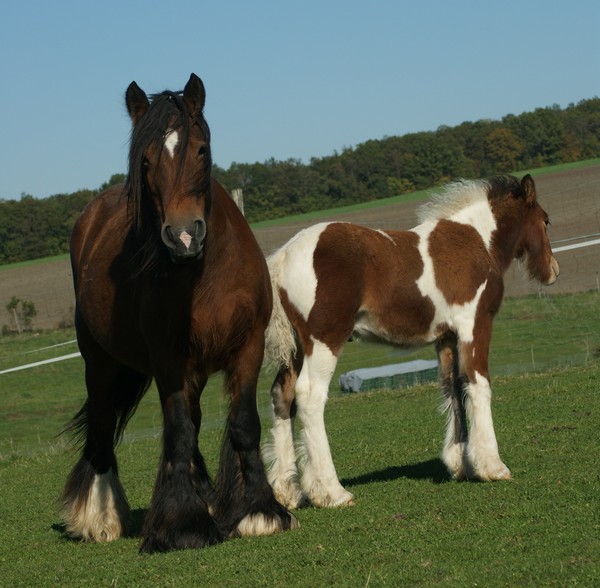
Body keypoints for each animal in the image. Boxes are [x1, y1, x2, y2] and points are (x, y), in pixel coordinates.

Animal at [60, 72, 296, 552]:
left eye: (201, 150)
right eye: (147, 160)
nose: (184, 236)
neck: (204, 275)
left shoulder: (247, 348)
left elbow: (243, 424)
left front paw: (258, 511)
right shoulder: (168, 361)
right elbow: (180, 431)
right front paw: (184, 524)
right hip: (100, 363)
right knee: (102, 421)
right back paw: (100, 517)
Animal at [264, 175, 560, 510]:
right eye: (545, 220)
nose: (553, 271)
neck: (477, 240)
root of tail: (284, 257)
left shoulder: (446, 337)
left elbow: (453, 386)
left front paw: (461, 464)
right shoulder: (475, 324)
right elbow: (478, 383)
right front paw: (492, 466)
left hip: (297, 349)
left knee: (282, 395)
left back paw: (288, 492)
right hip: (325, 340)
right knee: (310, 396)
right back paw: (331, 491)